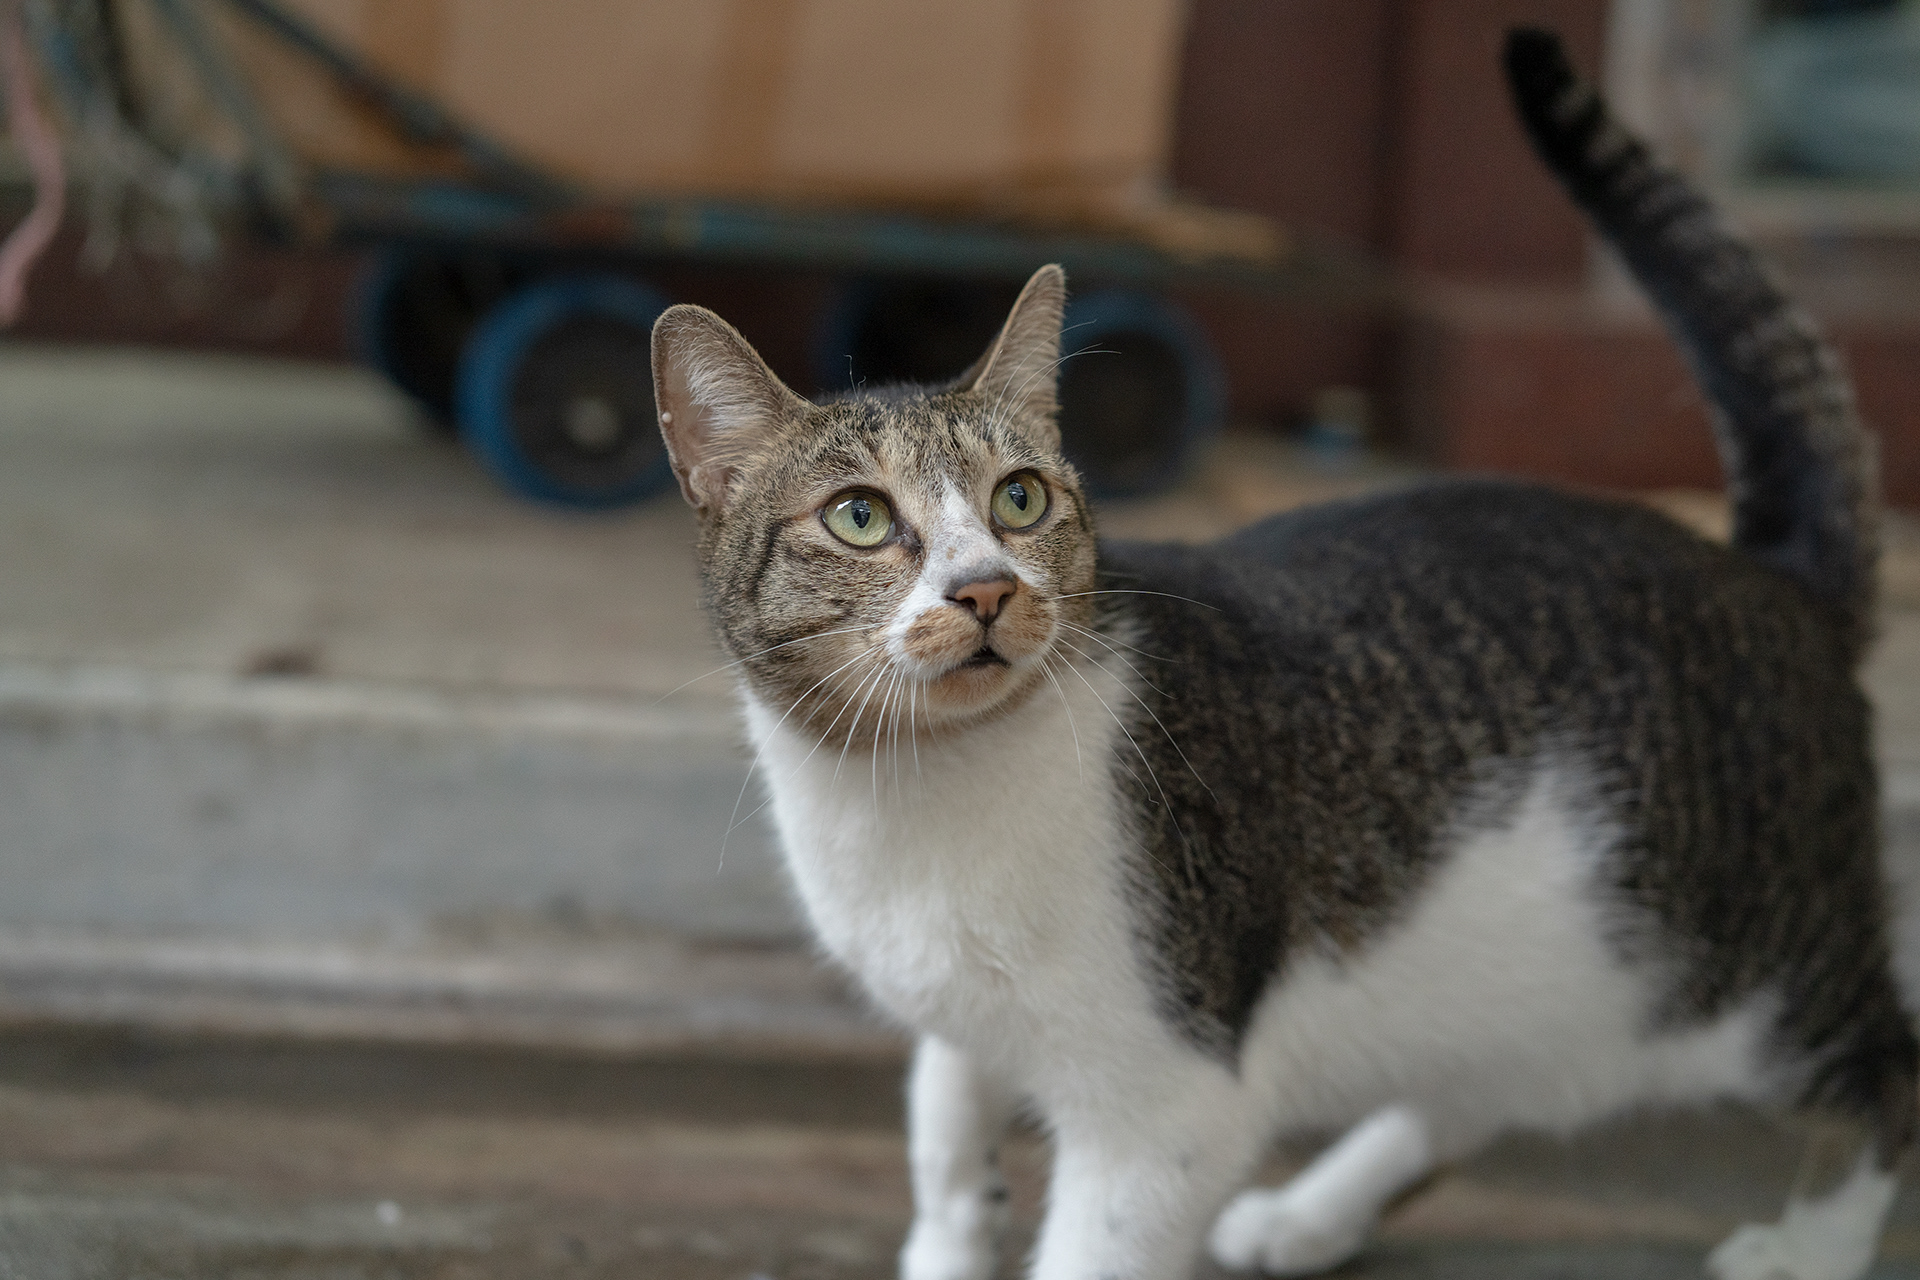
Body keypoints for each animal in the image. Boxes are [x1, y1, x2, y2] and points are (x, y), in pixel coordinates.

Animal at [649, 28, 1913, 1280]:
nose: (987, 586)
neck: (907, 788)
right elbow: (946, 1136)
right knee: (1480, 1090)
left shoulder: (1167, 1107)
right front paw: (952, 1227)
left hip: (1747, 975)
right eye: (861, 517)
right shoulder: (957, 1019)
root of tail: (1778, 574)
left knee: (1887, 1065)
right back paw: (1311, 1211)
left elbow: (1088, 1235)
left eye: (1020, 499)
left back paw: (1805, 1247)